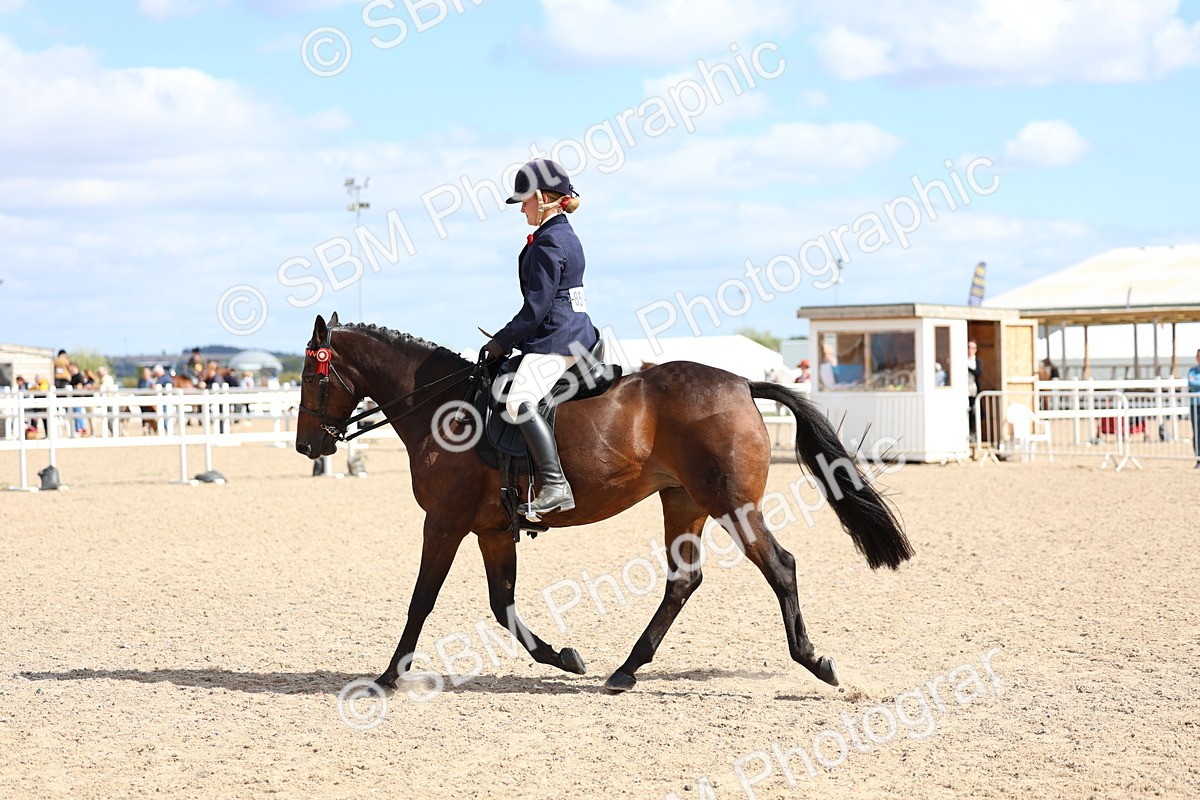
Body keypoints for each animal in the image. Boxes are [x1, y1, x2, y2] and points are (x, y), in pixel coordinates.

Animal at [295, 313, 913, 694]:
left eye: (310, 377)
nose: (307, 446)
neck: (443, 408)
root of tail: (742, 383)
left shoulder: (444, 523)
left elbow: (421, 601)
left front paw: (386, 677)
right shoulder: (491, 529)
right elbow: (502, 604)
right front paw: (564, 658)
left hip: (731, 505)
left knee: (780, 568)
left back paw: (817, 663)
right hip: (683, 502)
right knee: (683, 582)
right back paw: (625, 670)